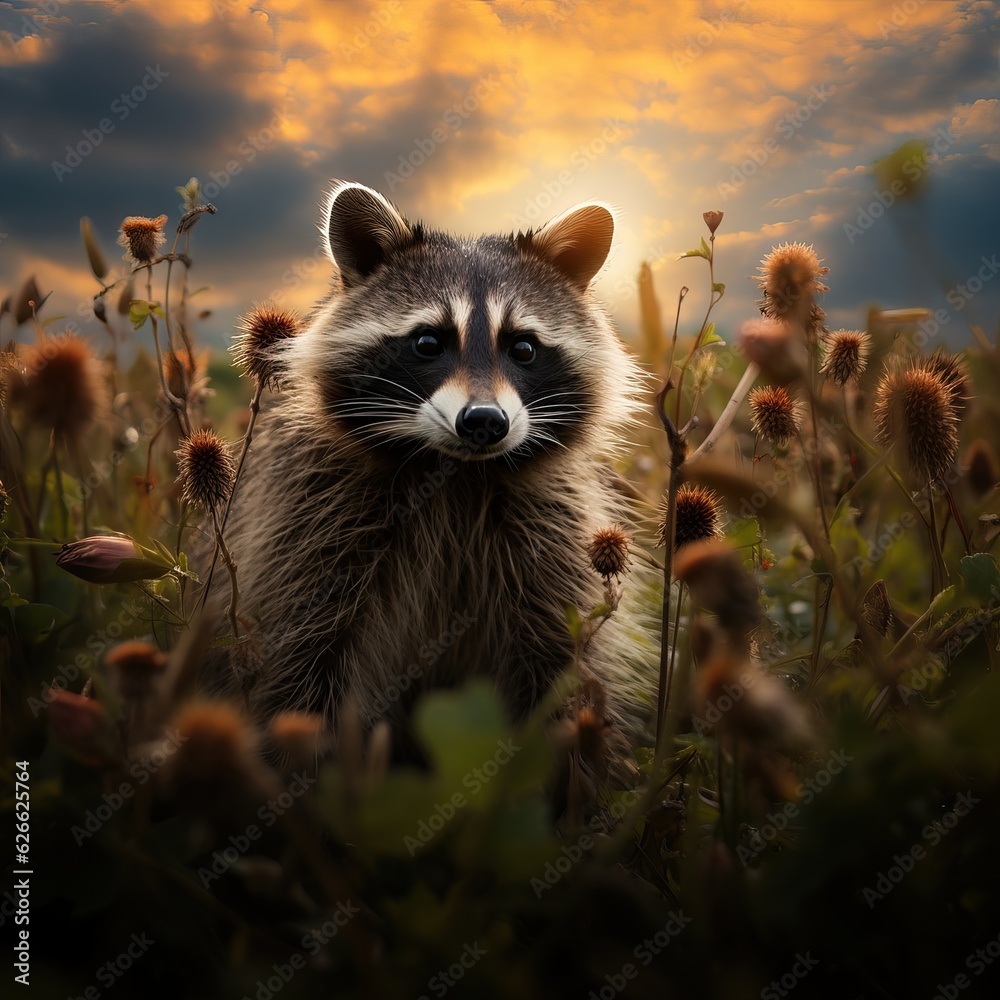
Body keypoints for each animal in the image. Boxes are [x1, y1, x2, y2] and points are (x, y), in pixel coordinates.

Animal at [213, 182, 656, 756]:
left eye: (524, 347)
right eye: (428, 342)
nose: (485, 422)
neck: (453, 473)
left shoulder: (552, 530)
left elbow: (563, 659)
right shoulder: (308, 517)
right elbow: (301, 657)